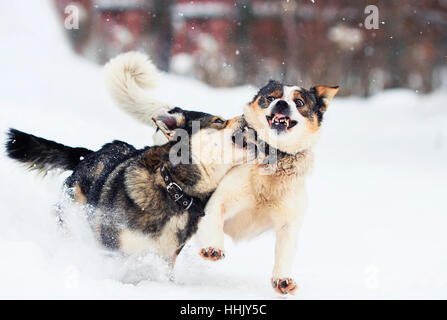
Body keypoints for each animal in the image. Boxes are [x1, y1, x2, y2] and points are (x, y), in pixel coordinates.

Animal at [5, 59, 254, 268]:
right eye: (219, 121)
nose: (248, 116)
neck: (174, 189)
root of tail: (90, 154)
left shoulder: (165, 259)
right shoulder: (115, 251)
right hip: (73, 215)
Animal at [103, 51, 338, 294]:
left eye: (299, 102)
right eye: (270, 97)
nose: (281, 103)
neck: (268, 172)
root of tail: (181, 112)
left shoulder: (289, 222)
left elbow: (285, 251)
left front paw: (283, 279)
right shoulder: (217, 203)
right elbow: (213, 222)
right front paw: (213, 248)